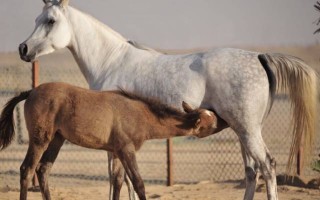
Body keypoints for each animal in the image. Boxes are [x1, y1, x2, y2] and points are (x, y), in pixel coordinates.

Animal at [18, 0, 318, 200]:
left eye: (50, 21)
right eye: (35, 19)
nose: (23, 49)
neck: (111, 60)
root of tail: (259, 57)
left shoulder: (115, 143)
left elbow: (118, 179)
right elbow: (126, 181)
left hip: (248, 130)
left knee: (267, 166)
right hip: (243, 131)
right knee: (252, 172)